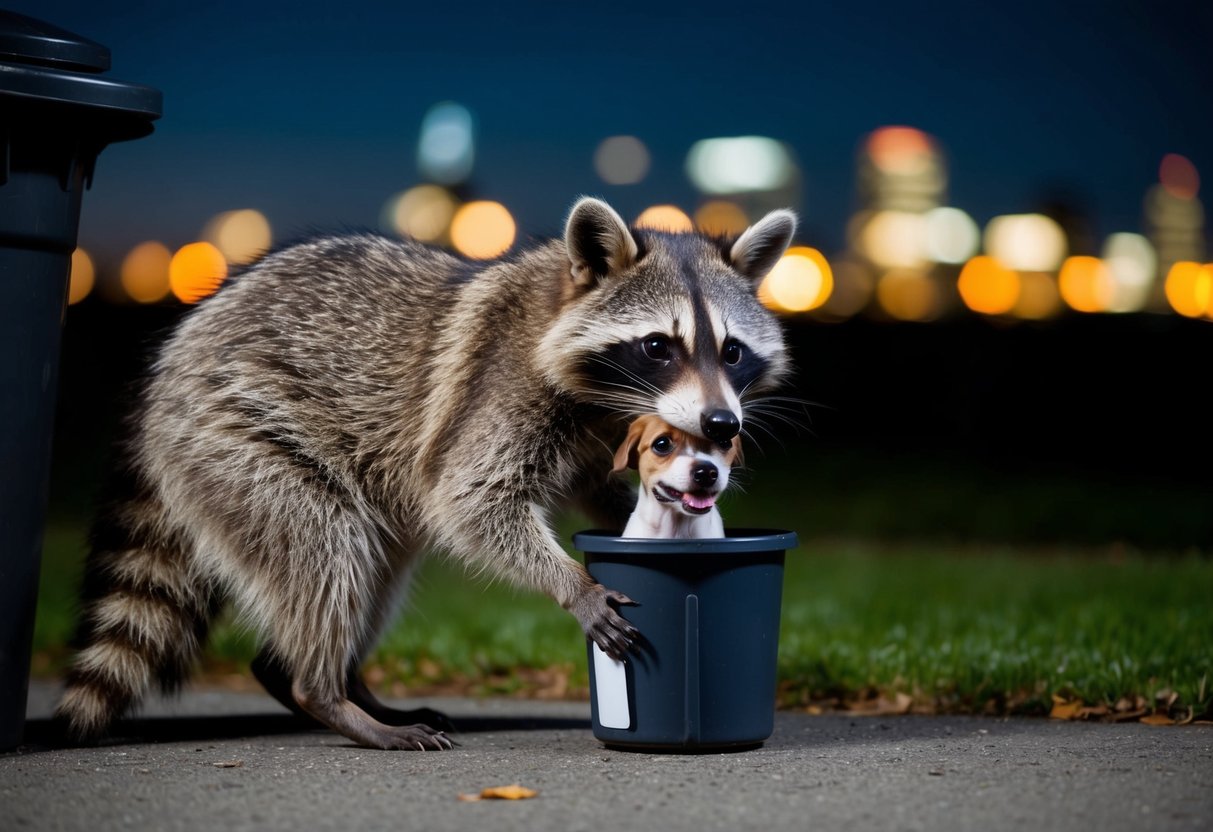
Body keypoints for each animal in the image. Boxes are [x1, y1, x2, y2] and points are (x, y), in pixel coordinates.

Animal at [55, 196, 796, 750]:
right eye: (658, 347)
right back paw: (324, 691)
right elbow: (471, 500)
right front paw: (572, 583)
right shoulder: (502, 389)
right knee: (323, 549)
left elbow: (596, 488)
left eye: (732, 351)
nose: (722, 426)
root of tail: (162, 380)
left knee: (373, 568)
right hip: (233, 436)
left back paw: (338, 683)